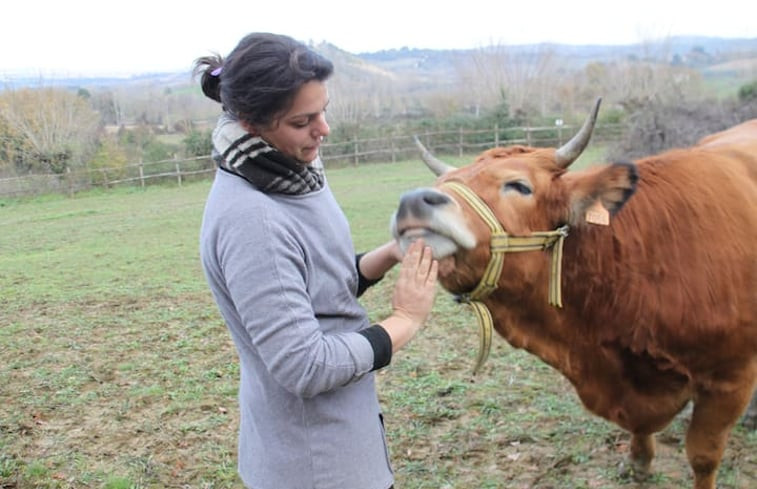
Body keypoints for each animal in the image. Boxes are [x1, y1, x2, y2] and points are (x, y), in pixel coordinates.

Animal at [390, 97, 756, 486]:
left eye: (519, 185)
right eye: (442, 181)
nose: (412, 201)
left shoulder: (730, 380)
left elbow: (703, 456)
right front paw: (639, 460)